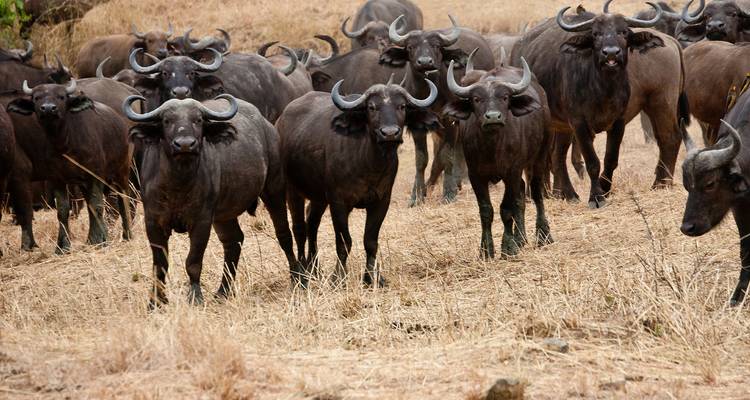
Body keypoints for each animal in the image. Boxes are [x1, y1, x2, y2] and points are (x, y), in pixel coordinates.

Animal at [124, 95, 299, 306]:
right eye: (166, 120)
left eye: (198, 120)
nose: (185, 144)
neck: (178, 183)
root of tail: (268, 126)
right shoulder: (153, 221)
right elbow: (160, 264)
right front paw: (156, 301)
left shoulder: (202, 221)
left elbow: (193, 261)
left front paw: (195, 297)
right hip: (224, 215)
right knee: (234, 241)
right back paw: (223, 291)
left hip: (274, 189)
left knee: (284, 234)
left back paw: (297, 278)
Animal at [277, 78, 439, 286]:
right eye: (372, 107)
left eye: (402, 106)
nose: (390, 133)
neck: (369, 163)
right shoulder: (338, 203)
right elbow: (344, 242)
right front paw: (338, 277)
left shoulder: (381, 202)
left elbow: (370, 241)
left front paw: (373, 278)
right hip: (293, 190)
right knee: (299, 228)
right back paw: (302, 274)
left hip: (319, 197)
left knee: (311, 223)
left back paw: (315, 269)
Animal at [444, 57, 553, 257]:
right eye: (476, 99)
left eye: (505, 97)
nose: (493, 117)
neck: (492, 148)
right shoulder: (475, 176)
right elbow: (486, 210)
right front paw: (486, 250)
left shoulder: (512, 172)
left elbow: (506, 209)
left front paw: (508, 247)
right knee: (521, 194)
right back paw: (521, 238)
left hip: (540, 156)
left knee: (536, 192)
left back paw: (543, 235)